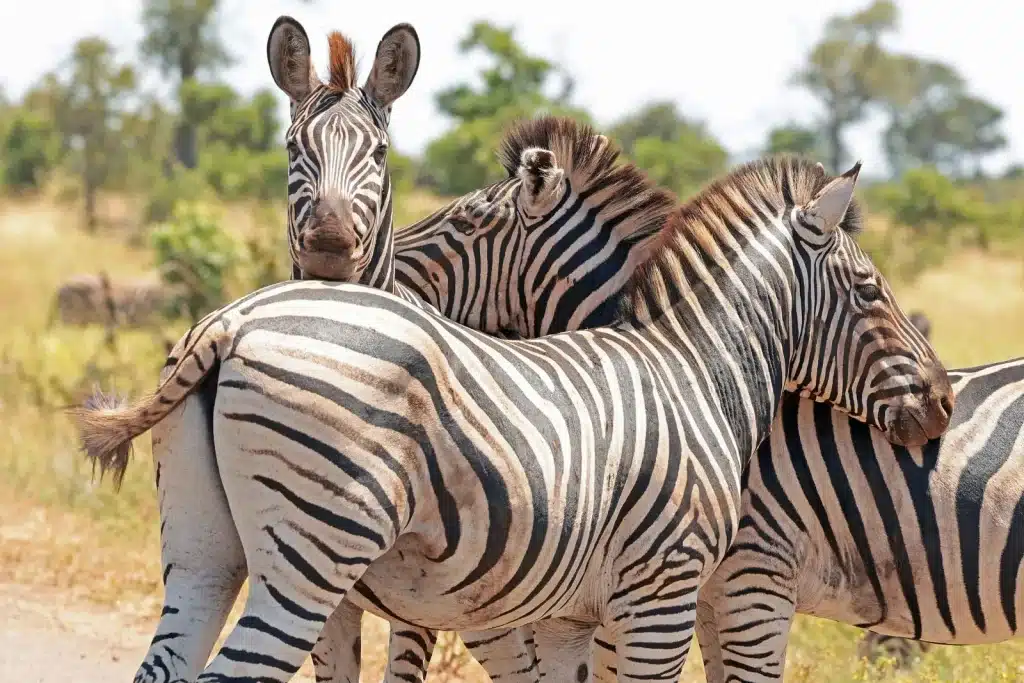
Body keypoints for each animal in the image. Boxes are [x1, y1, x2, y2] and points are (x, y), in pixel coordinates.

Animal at [73, 139, 957, 683]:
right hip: (312, 554)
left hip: (204, 550)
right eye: (871, 289)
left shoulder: (567, 614)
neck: (697, 369)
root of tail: (232, 321)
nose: (944, 401)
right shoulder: (662, 597)